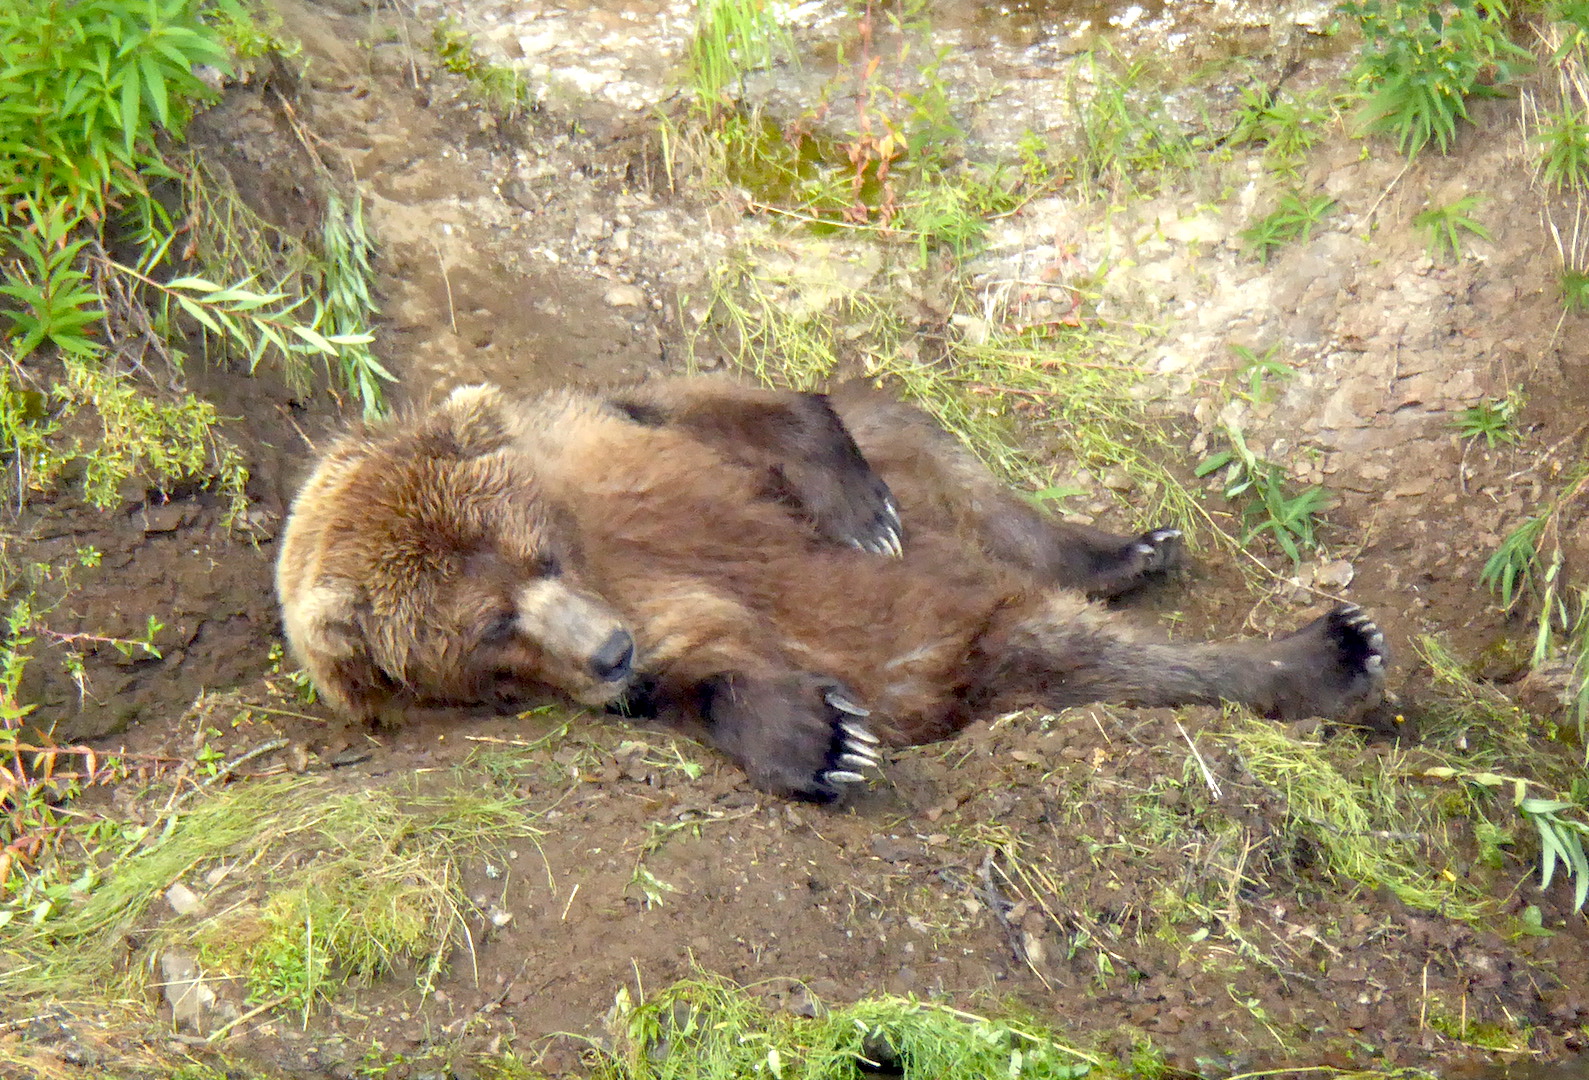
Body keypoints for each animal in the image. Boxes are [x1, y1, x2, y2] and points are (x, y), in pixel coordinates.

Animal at [276, 377, 1387, 802]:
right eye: (489, 629)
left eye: (534, 556)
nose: (606, 647)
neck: (597, 560)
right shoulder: (650, 640)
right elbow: (709, 677)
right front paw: (822, 739)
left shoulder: (593, 435)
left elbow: (733, 409)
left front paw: (850, 508)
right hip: (958, 644)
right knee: (1067, 655)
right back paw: (1323, 655)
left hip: (932, 486)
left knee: (955, 472)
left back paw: (1147, 558)